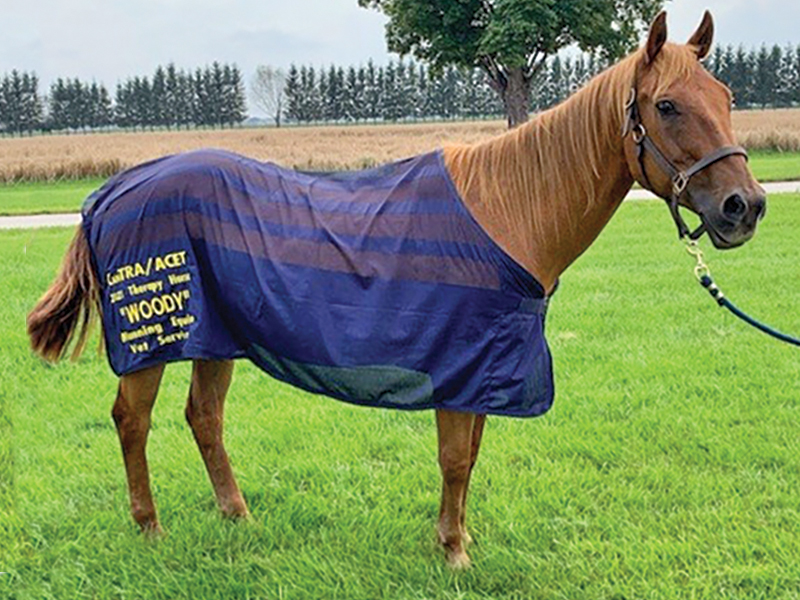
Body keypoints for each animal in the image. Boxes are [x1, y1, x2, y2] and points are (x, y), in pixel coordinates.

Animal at [27, 11, 765, 569]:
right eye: (666, 106)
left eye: (728, 100)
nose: (745, 206)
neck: (509, 211)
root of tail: (113, 190)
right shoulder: (460, 368)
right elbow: (456, 459)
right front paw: (455, 554)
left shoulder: (483, 370)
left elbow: (469, 457)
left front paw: (452, 539)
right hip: (153, 340)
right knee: (133, 421)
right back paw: (150, 529)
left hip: (214, 338)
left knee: (203, 418)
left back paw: (239, 519)